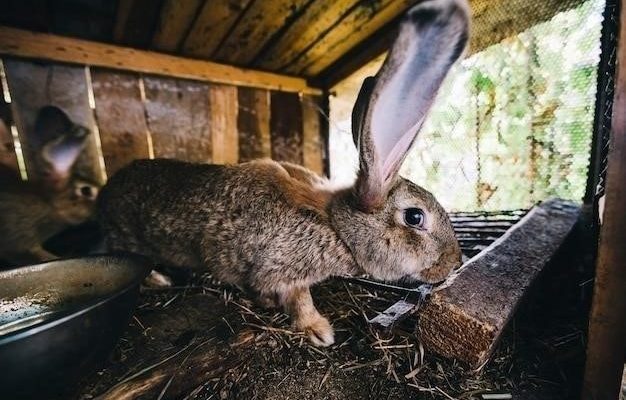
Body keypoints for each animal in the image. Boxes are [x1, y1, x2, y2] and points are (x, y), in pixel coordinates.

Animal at [97, 0, 468, 346]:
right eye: (415, 217)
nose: (454, 262)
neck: (335, 225)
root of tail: (106, 191)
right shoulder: (279, 269)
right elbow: (298, 299)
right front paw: (318, 331)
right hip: (126, 236)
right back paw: (158, 280)